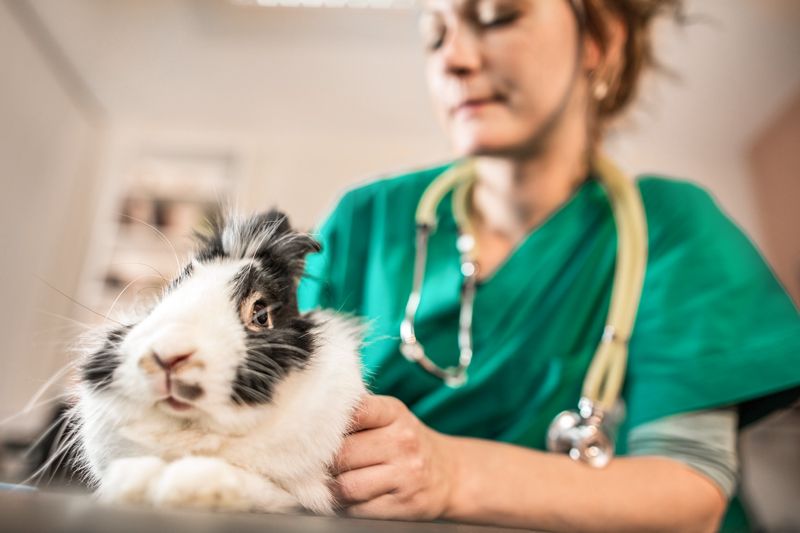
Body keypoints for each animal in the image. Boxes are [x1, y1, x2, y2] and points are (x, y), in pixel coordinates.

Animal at [72, 210, 366, 512]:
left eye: (261, 315)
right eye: (163, 297)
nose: (168, 354)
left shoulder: (302, 496)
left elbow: (261, 490)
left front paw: (182, 485)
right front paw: (131, 481)